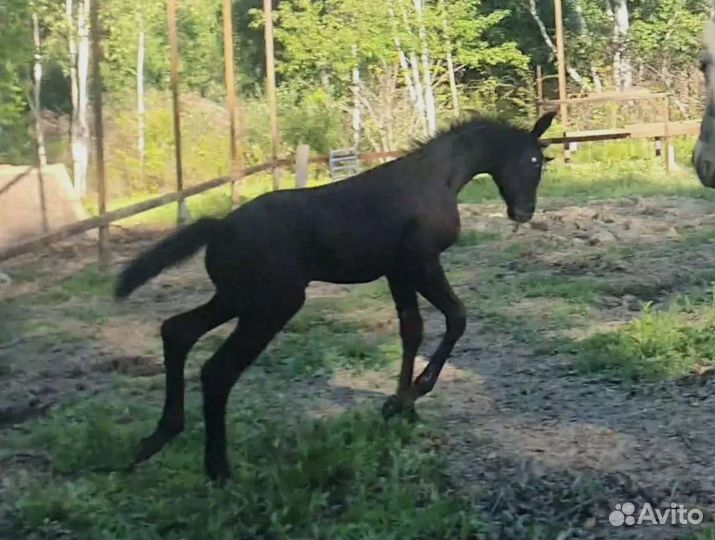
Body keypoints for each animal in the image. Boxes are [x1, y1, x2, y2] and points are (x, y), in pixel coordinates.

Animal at [115, 111, 557, 481]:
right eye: (532, 161)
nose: (524, 213)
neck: (436, 180)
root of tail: (218, 227)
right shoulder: (422, 263)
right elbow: (457, 317)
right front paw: (415, 392)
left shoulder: (398, 272)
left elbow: (411, 330)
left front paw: (401, 406)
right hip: (271, 305)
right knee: (217, 370)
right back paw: (218, 469)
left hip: (235, 298)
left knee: (177, 331)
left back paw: (157, 438)